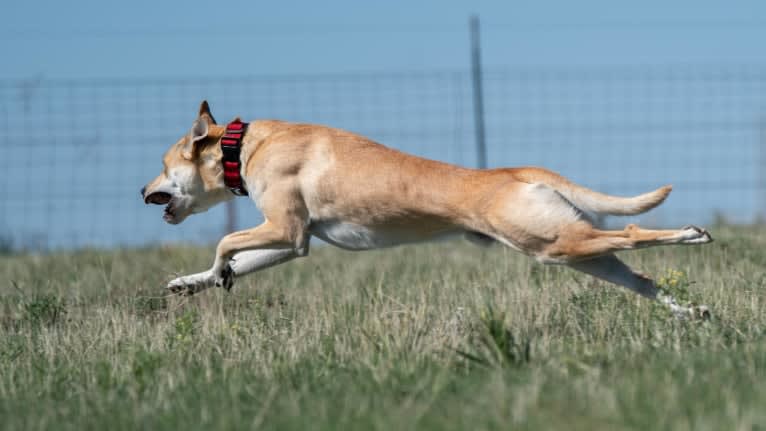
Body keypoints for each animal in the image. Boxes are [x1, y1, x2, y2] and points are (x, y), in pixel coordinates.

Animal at [142, 101, 712, 318]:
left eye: (164, 165)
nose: (143, 189)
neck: (241, 146)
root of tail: (515, 172)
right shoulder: (295, 242)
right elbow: (236, 260)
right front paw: (194, 282)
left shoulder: (284, 227)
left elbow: (224, 242)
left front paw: (217, 272)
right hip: (576, 250)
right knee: (642, 279)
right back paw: (693, 312)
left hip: (553, 245)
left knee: (635, 232)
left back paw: (691, 234)